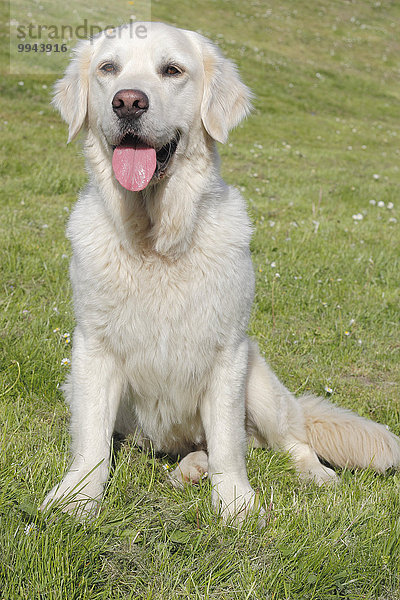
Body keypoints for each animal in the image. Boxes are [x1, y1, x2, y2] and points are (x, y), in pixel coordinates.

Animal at [41, 21, 400, 524]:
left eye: (172, 70)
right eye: (108, 69)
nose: (127, 102)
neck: (157, 242)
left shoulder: (227, 353)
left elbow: (229, 443)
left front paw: (234, 503)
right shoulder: (93, 349)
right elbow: (91, 440)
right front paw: (76, 498)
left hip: (261, 383)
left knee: (291, 440)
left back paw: (315, 475)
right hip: (76, 386)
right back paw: (189, 469)